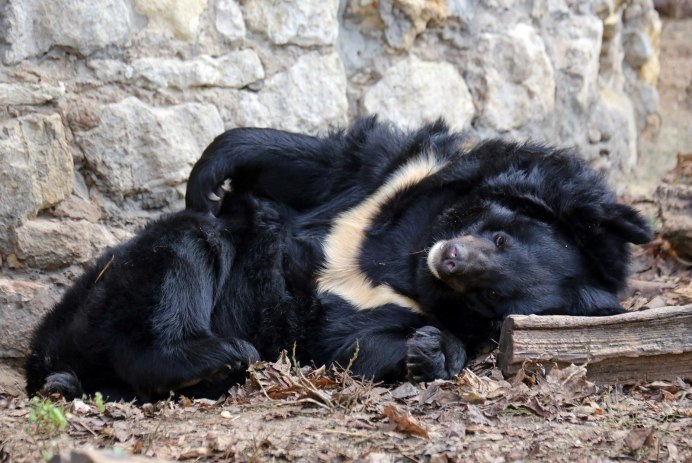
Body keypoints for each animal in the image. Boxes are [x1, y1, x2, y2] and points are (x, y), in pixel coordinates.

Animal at [24, 118, 652, 400]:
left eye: (489, 297)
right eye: (500, 236)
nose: (451, 260)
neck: (406, 258)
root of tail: (50, 357)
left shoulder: (364, 311)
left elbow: (351, 341)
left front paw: (430, 351)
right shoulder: (397, 177)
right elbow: (323, 162)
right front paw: (206, 179)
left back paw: (216, 359)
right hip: (97, 298)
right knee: (186, 246)